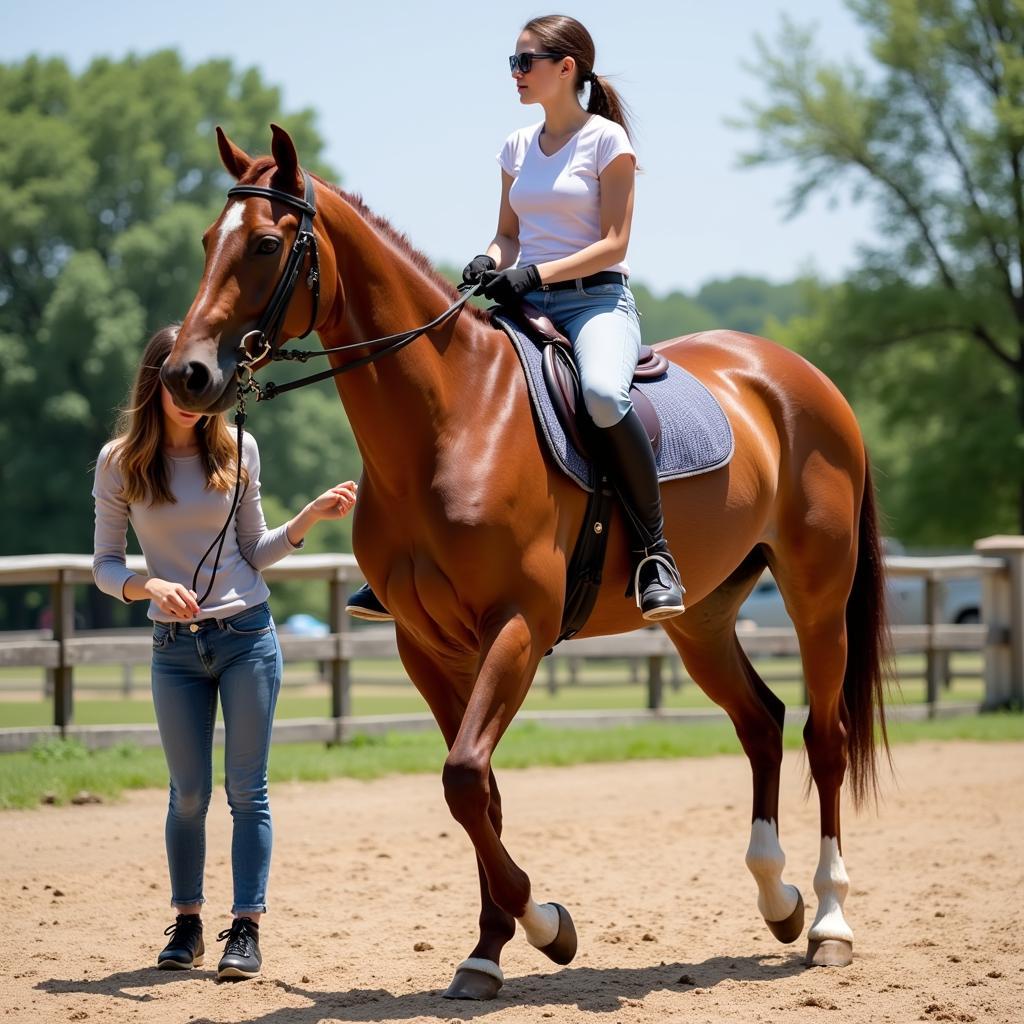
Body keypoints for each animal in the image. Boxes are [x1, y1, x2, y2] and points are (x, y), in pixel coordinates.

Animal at [161, 123, 888, 995]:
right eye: (210, 241)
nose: (185, 374)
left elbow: (465, 779)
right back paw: (777, 899)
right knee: (762, 721)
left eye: (267, 244)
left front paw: (548, 927)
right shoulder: (427, 646)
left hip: (817, 595)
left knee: (824, 736)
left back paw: (829, 920)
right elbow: (480, 791)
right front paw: (488, 948)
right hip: (703, 617)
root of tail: (798, 375)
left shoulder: (519, 626)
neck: (453, 420)